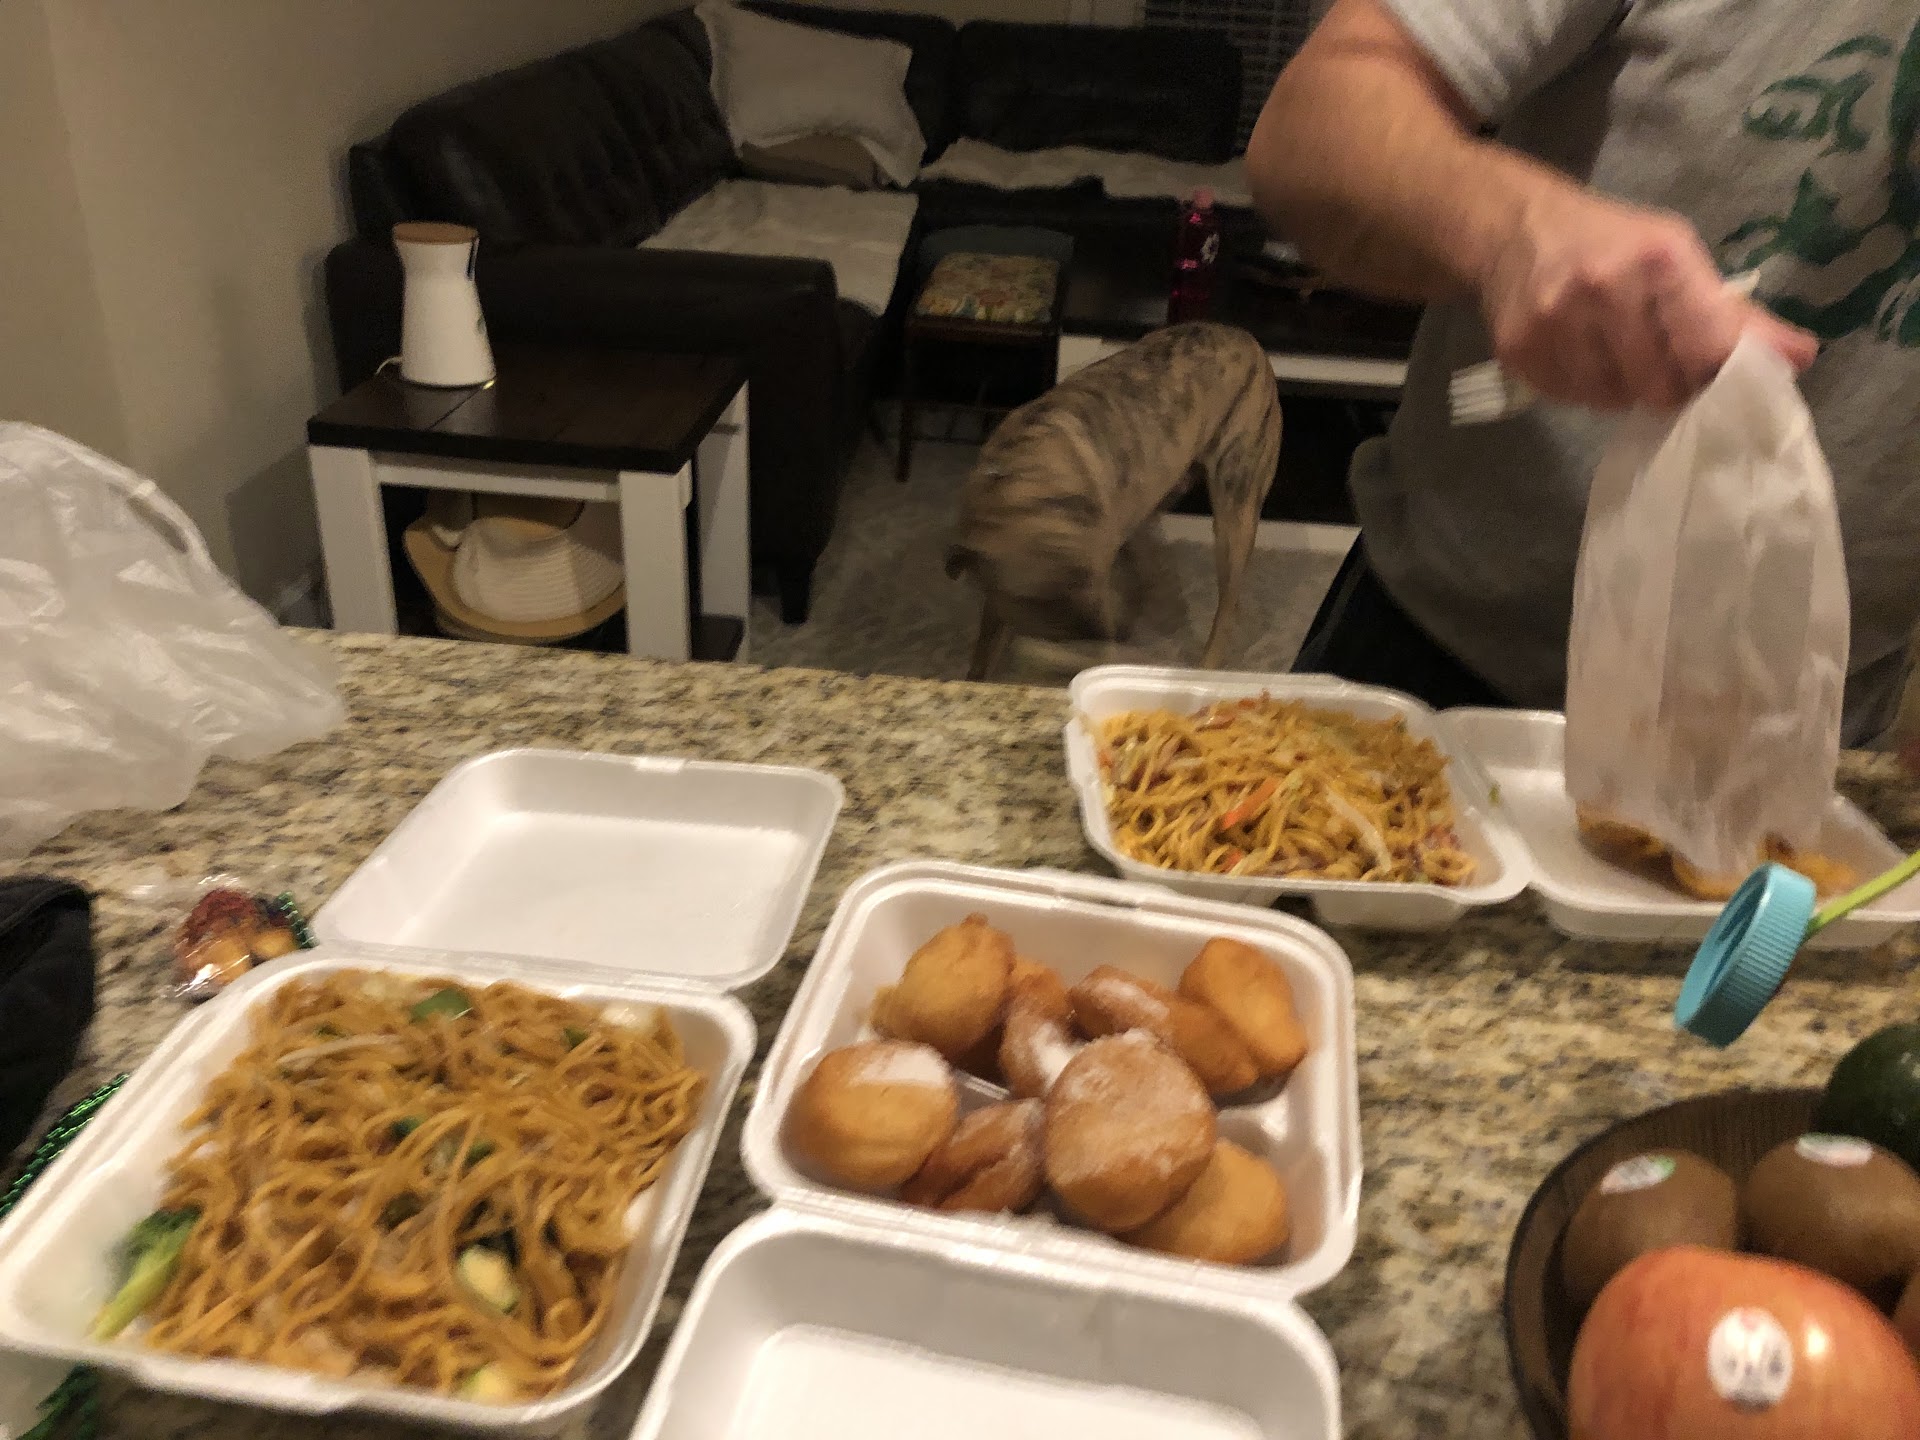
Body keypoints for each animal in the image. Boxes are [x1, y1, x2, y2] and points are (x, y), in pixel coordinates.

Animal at [945, 321, 1282, 680]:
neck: (1025, 475)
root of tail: (1247, 338)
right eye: (1036, 599)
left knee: (1227, 607)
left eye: (1088, 580)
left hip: (1235, 510)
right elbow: (984, 652)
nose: (1101, 640)